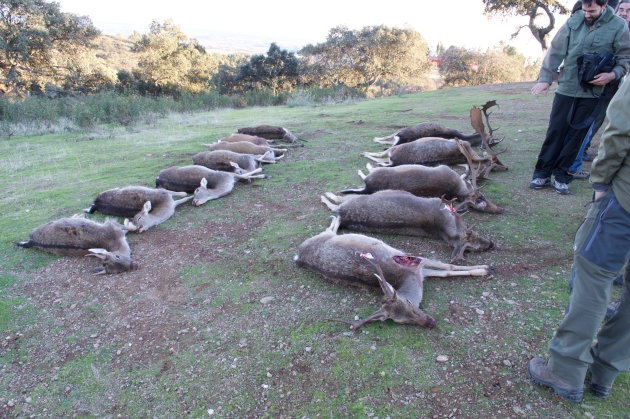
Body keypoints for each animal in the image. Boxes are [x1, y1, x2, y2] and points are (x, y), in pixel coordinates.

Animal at [296, 217, 494, 332]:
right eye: (400, 321)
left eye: (409, 303)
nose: (430, 323)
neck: (408, 279)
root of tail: (298, 256)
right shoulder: (418, 269)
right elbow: (446, 272)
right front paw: (485, 269)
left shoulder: (416, 260)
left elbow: (448, 267)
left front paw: (487, 268)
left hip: (324, 236)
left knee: (329, 228)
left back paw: (337, 217)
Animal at [324, 191, 496, 262]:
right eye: (473, 232)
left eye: (472, 249)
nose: (491, 244)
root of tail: (344, 214)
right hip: (355, 198)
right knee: (337, 201)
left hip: (353, 200)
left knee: (336, 203)